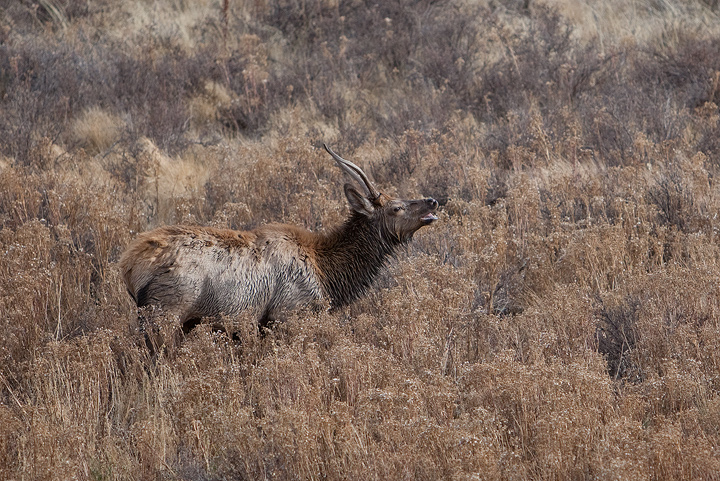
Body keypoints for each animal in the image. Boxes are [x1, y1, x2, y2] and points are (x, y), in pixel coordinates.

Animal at [119, 144, 438, 336]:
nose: (433, 201)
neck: (327, 273)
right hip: (165, 314)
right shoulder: (287, 313)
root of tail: (128, 267)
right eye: (396, 207)